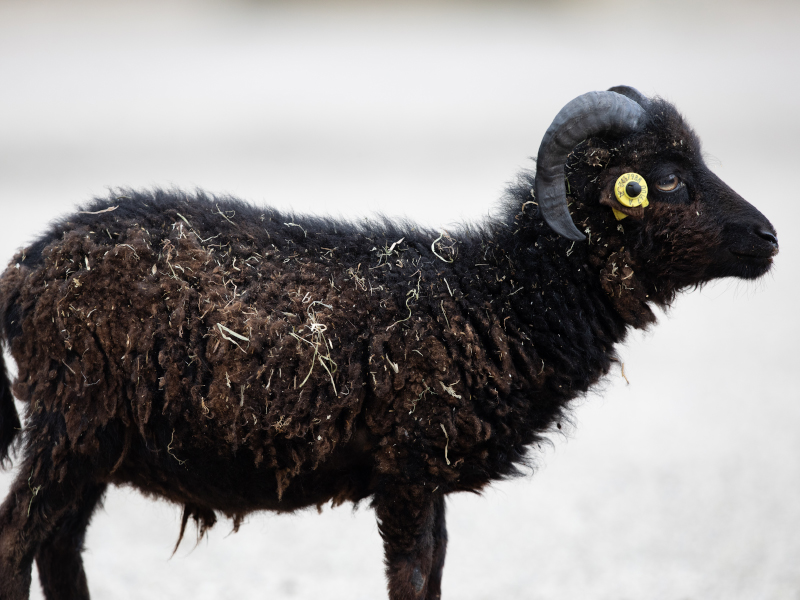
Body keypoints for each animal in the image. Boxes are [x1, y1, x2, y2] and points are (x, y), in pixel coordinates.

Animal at [0, 88, 780, 600]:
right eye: (664, 180)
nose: (770, 237)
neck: (500, 293)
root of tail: (27, 266)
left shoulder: (430, 475)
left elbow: (435, 577)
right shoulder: (404, 469)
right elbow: (409, 579)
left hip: (95, 438)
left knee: (59, 549)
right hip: (71, 422)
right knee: (19, 539)